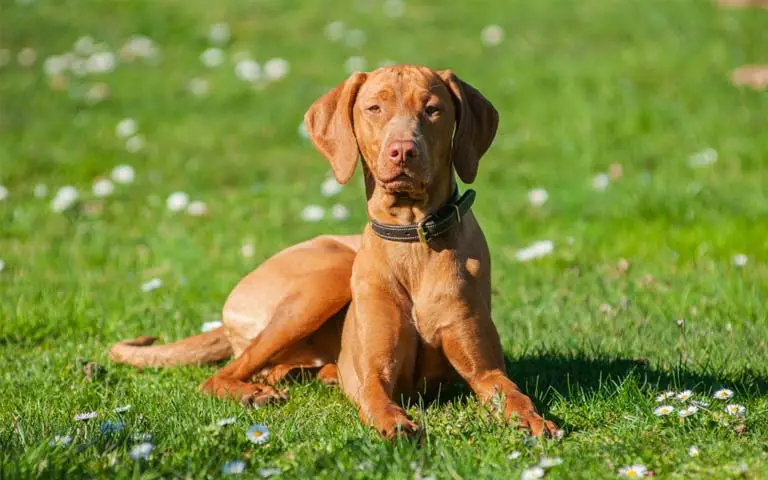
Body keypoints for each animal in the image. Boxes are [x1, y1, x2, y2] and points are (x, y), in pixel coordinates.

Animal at [109, 65, 560, 440]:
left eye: (433, 110)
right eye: (374, 108)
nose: (403, 151)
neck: (411, 239)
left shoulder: (485, 369)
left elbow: (513, 393)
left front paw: (534, 420)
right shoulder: (373, 371)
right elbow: (375, 396)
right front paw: (394, 423)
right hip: (325, 281)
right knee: (221, 375)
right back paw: (255, 392)